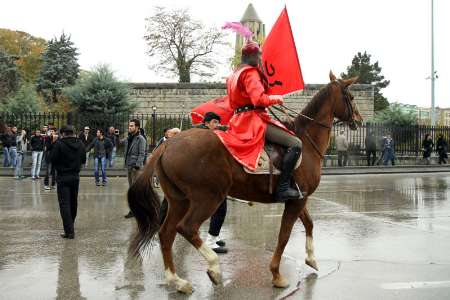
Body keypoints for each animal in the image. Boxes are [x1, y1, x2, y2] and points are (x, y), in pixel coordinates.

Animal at [127, 72, 362, 292]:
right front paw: (276, 275)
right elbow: (284, 236)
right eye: (350, 97)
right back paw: (214, 267)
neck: (305, 141)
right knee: (187, 228)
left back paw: (177, 281)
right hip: (208, 198)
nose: (359, 119)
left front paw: (311, 259)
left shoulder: (298, 198)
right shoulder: (296, 201)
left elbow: (309, 223)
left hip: (179, 200)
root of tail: (168, 143)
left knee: (166, 233)